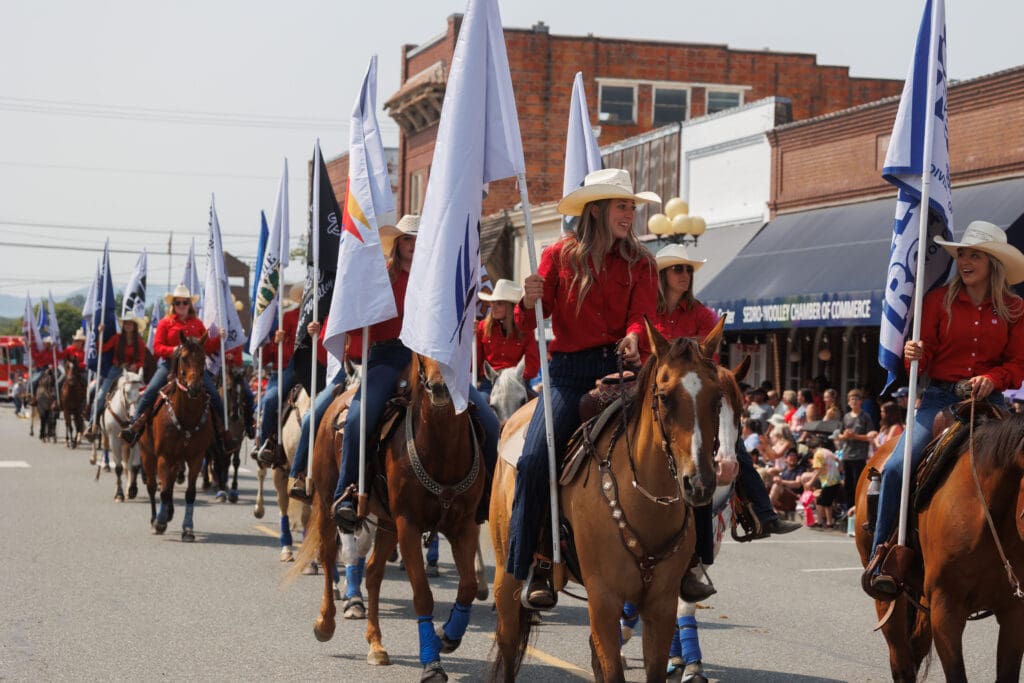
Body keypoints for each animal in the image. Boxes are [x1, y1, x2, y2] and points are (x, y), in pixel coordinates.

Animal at [102, 370, 145, 505]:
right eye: (127, 392)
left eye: (142, 391)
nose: (135, 415)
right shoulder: (114, 441)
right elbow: (118, 468)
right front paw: (119, 494)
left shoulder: (137, 441)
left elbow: (134, 466)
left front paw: (132, 489)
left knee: (128, 465)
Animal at [139, 333, 215, 540]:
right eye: (184, 358)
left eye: (203, 358)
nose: (194, 388)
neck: (186, 415)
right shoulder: (163, 456)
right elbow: (163, 491)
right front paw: (159, 523)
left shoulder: (196, 457)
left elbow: (189, 493)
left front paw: (187, 528)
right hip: (148, 454)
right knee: (153, 487)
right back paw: (155, 518)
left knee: (170, 483)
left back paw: (169, 512)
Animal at [294, 356, 485, 679]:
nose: (441, 387)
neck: (441, 448)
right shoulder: (408, 525)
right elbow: (422, 593)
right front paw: (432, 663)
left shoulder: (464, 526)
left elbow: (468, 586)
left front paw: (447, 637)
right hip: (328, 502)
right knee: (330, 556)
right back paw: (326, 623)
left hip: (385, 524)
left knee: (373, 572)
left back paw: (376, 645)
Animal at [489, 321, 724, 683]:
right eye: (665, 397)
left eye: (717, 397)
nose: (699, 483)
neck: (643, 501)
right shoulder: (604, 601)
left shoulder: (662, 604)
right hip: (506, 575)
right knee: (508, 641)